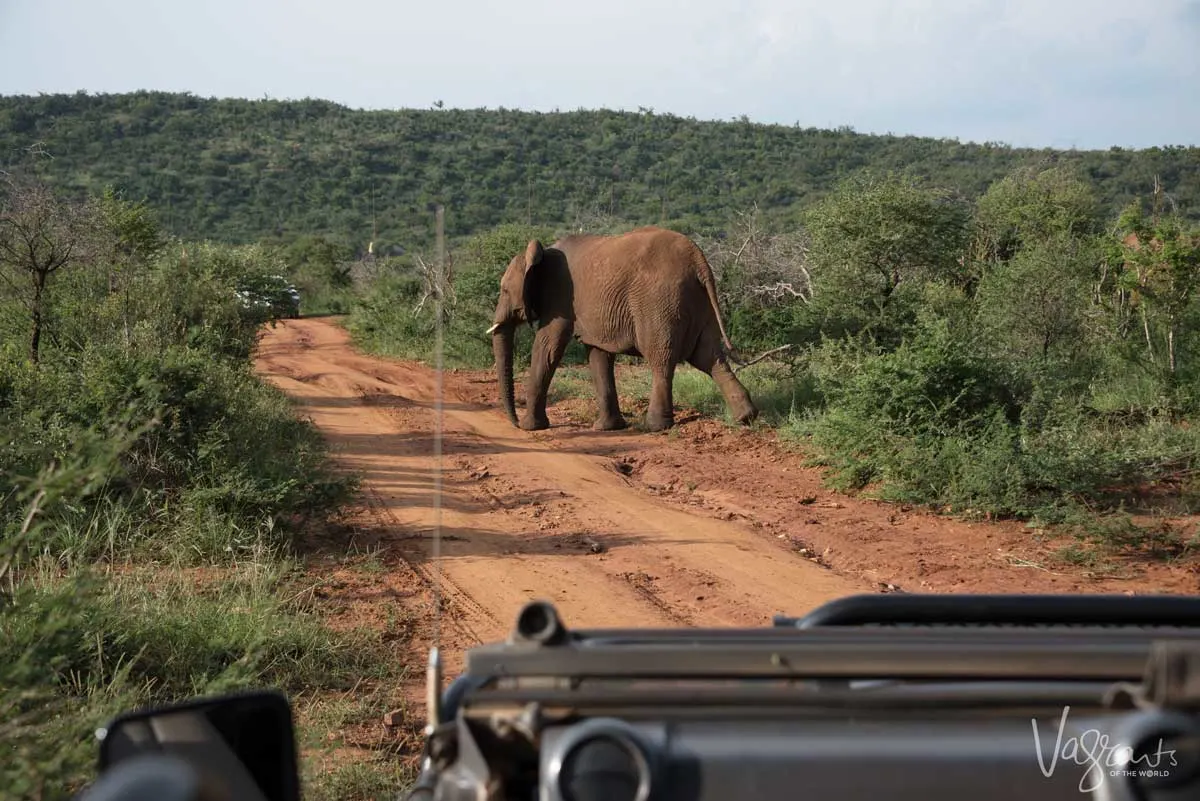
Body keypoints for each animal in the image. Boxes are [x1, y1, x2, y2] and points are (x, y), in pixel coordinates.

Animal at [482, 221, 753, 434]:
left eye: (504, 290)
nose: (514, 422)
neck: (542, 253)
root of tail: (699, 260)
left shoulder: (560, 297)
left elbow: (547, 345)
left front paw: (531, 427)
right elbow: (598, 355)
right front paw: (607, 428)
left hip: (659, 303)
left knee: (661, 359)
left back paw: (655, 426)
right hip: (697, 302)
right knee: (710, 358)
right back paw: (746, 417)